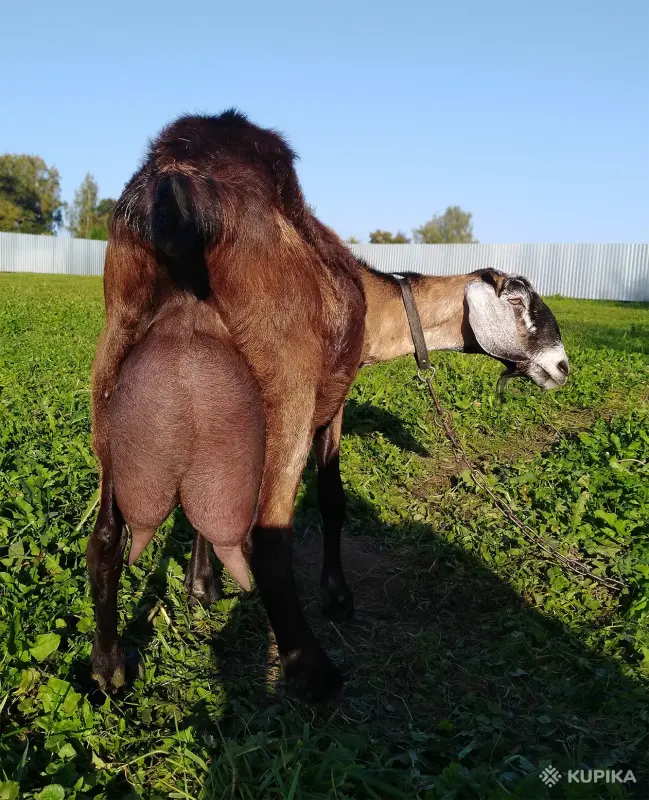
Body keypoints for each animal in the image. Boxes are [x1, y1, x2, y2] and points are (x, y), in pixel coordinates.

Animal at [88, 110, 366, 701]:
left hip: (108, 387)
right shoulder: (331, 410)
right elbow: (332, 499)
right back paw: (313, 670)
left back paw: (108, 667)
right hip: (288, 400)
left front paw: (201, 584)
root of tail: (179, 196)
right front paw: (337, 595)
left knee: (103, 540)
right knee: (269, 545)